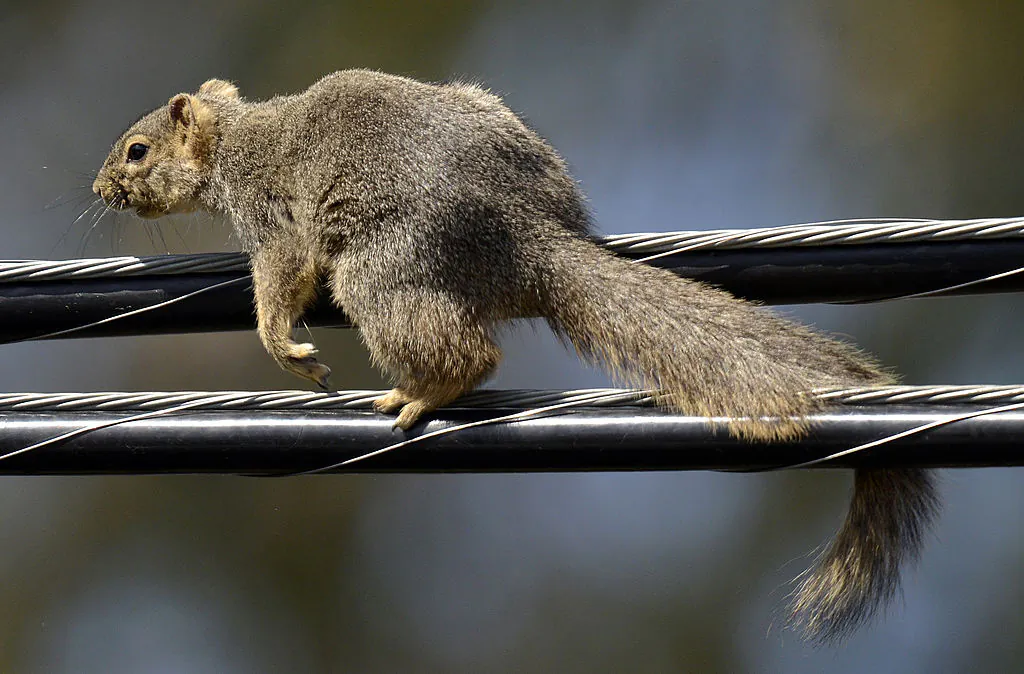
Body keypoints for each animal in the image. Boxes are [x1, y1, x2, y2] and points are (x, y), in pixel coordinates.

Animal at [92, 70, 938, 642]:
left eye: (136, 150)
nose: (101, 190)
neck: (236, 138)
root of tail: (527, 237)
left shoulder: (273, 214)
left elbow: (281, 276)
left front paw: (283, 344)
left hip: (383, 266)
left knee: (469, 352)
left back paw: (423, 393)